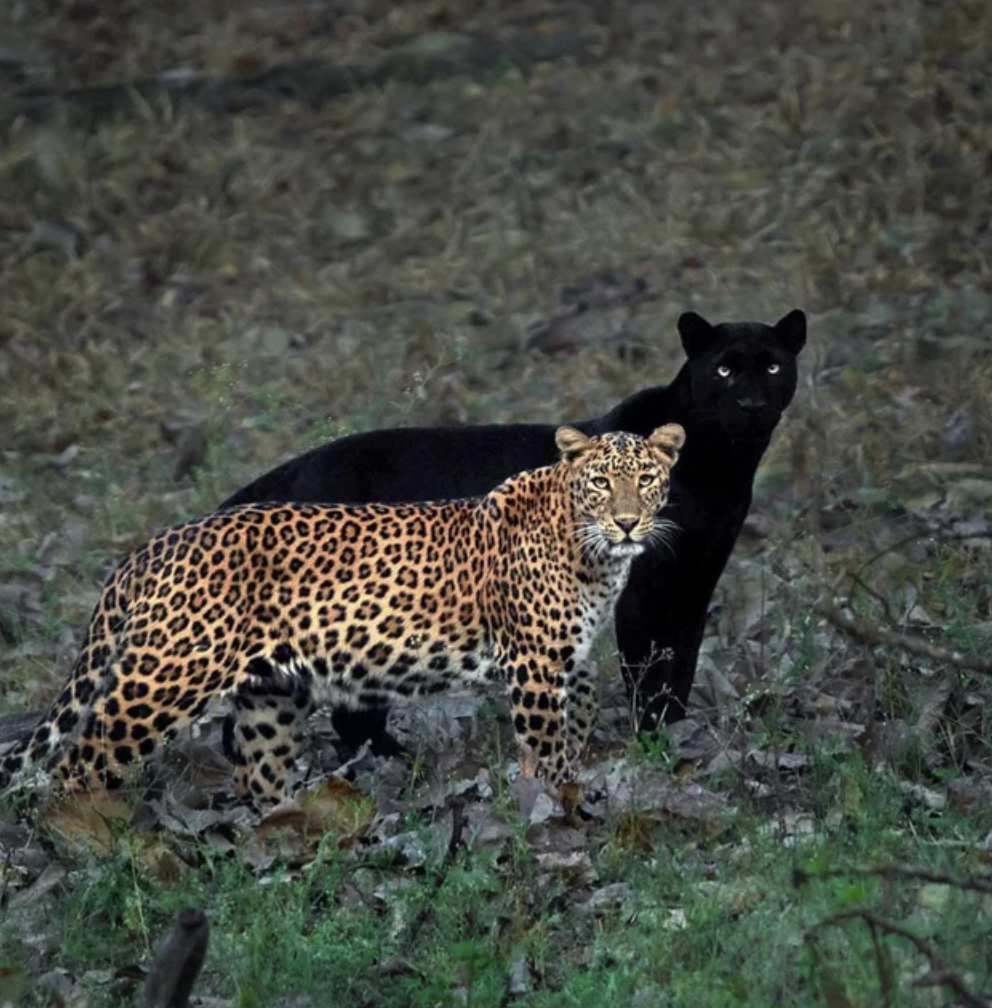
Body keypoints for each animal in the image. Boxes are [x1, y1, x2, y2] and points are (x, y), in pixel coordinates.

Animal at [0, 421, 681, 806]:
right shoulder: (534, 663)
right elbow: (546, 745)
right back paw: (92, 843)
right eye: (600, 482)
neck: (592, 552)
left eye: (647, 480)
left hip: (270, 696)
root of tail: (148, 548)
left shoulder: (569, 658)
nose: (627, 522)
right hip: (162, 680)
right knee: (77, 765)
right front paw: (556, 804)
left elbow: (578, 719)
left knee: (259, 774)